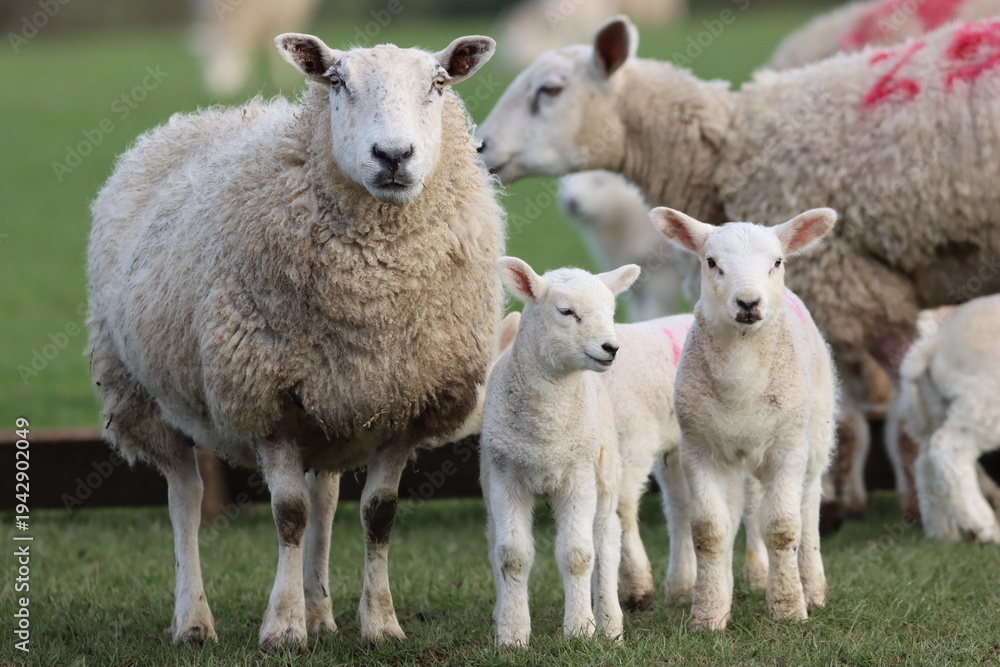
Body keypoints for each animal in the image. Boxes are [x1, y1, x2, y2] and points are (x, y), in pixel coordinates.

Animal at [87, 32, 503, 650]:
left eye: (438, 84)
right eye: (337, 82)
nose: (393, 156)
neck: (374, 293)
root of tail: (198, 119)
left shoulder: (404, 404)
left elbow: (378, 515)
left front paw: (379, 624)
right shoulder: (267, 400)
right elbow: (288, 515)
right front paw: (282, 627)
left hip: (329, 408)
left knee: (324, 499)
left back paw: (321, 611)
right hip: (141, 393)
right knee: (185, 500)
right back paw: (194, 620)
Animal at [481, 256, 640, 646]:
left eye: (611, 310)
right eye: (566, 312)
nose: (610, 348)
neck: (546, 430)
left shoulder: (577, 476)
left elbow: (579, 555)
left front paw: (581, 630)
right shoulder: (506, 477)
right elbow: (511, 555)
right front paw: (512, 634)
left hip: (604, 472)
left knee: (606, 539)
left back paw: (610, 623)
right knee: (493, 539)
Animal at [559, 170, 686, 319]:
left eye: (599, 181)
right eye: (563, 183)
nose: (572, 203)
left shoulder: (663, 273)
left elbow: (656, 311)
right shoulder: (637, 278)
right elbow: (638, 313)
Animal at [650, 206, 838, 631]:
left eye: (777, 262)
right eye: (711, 262)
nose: (748, 303)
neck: (742, 383)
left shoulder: (788, 448)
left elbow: (783, 527)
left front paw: (788, 608)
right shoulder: (698, 449)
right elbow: (708, 532)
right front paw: (708, 613)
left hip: (815, 435)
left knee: (808, 506)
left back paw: (813, 586)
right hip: (737, 458)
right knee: (744, 509)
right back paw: (745, 579)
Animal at [898, 295, 1000, 543]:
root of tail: (936, 342)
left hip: (937, 407)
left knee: (925, 462)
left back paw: (942, 533)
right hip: (984, 402)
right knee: (949, 447)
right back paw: (983, 523)